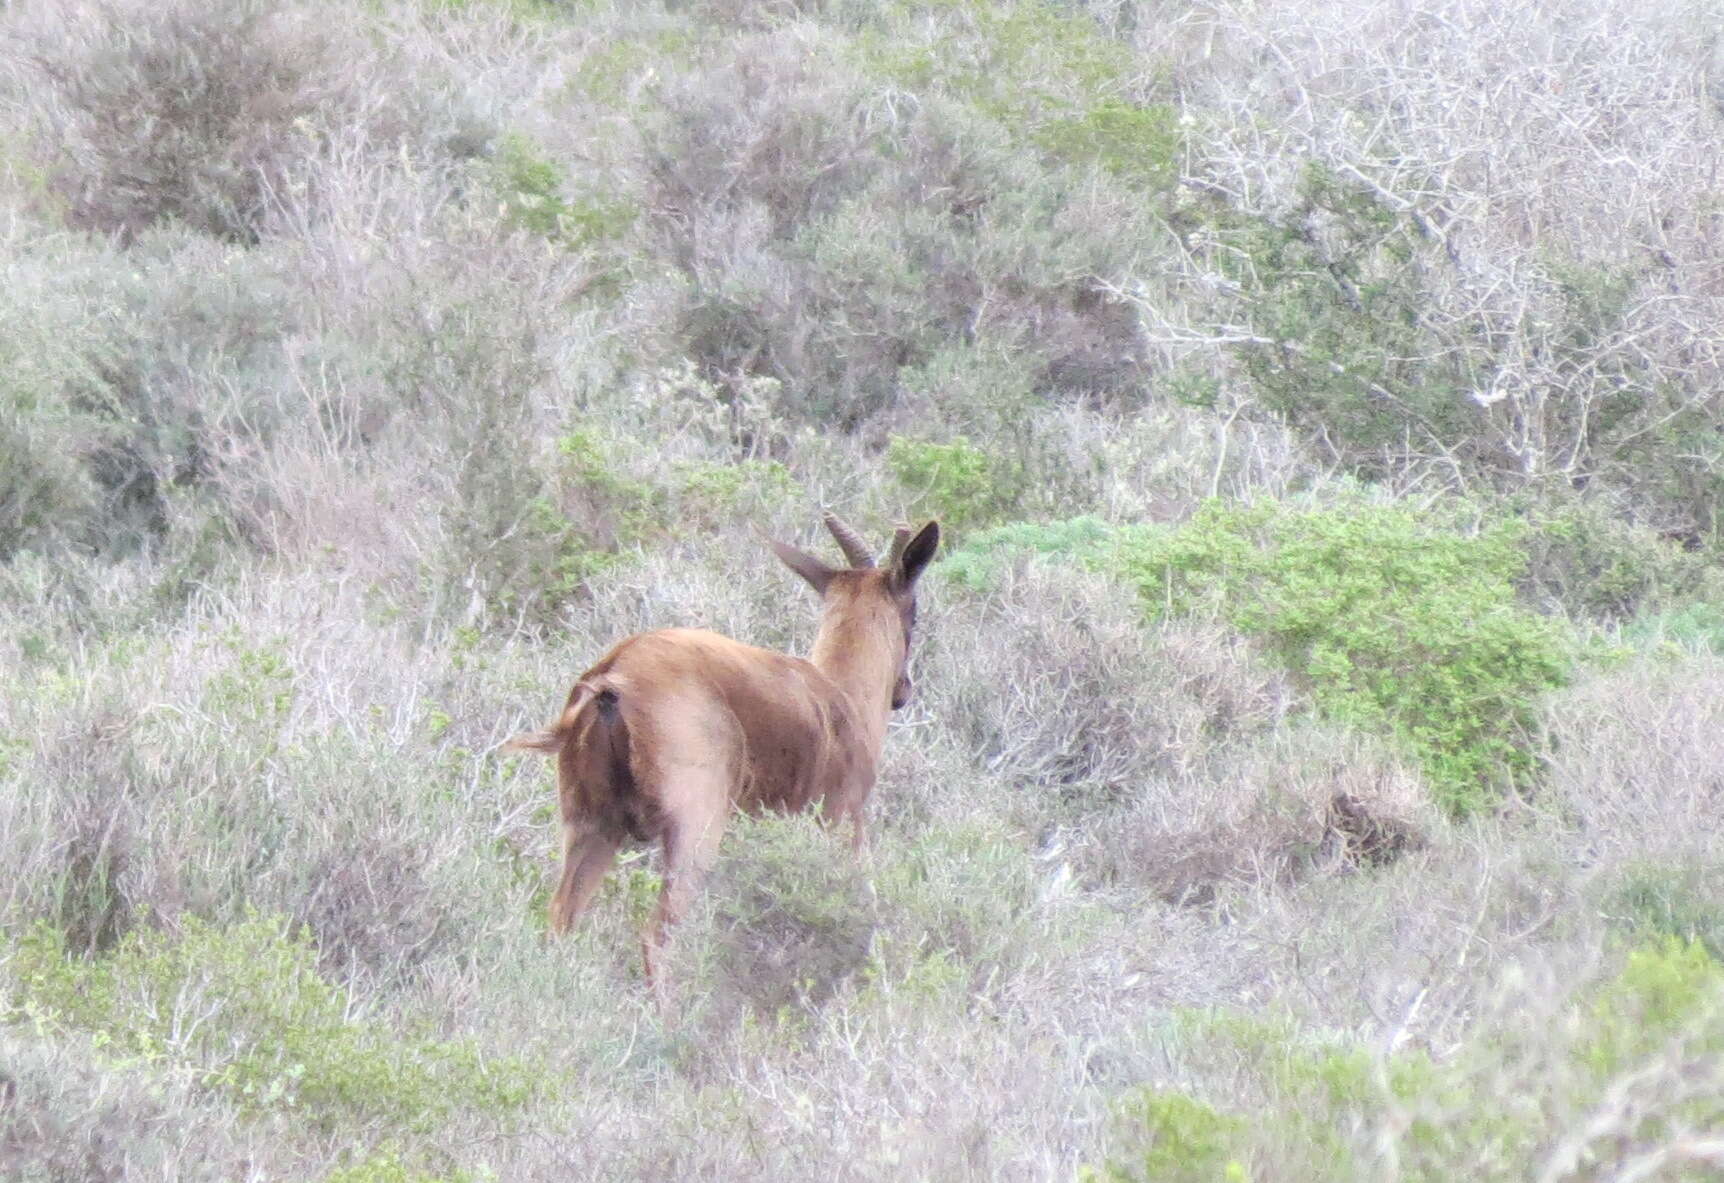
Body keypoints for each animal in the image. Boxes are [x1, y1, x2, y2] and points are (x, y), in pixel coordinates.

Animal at [506, 513, 944, 986]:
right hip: (694, 835)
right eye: (914, 611)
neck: (836, 694)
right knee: (658, 937)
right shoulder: (844, 821)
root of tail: (612, 676)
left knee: (560, 920)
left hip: (594, 827)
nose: (903, 690)